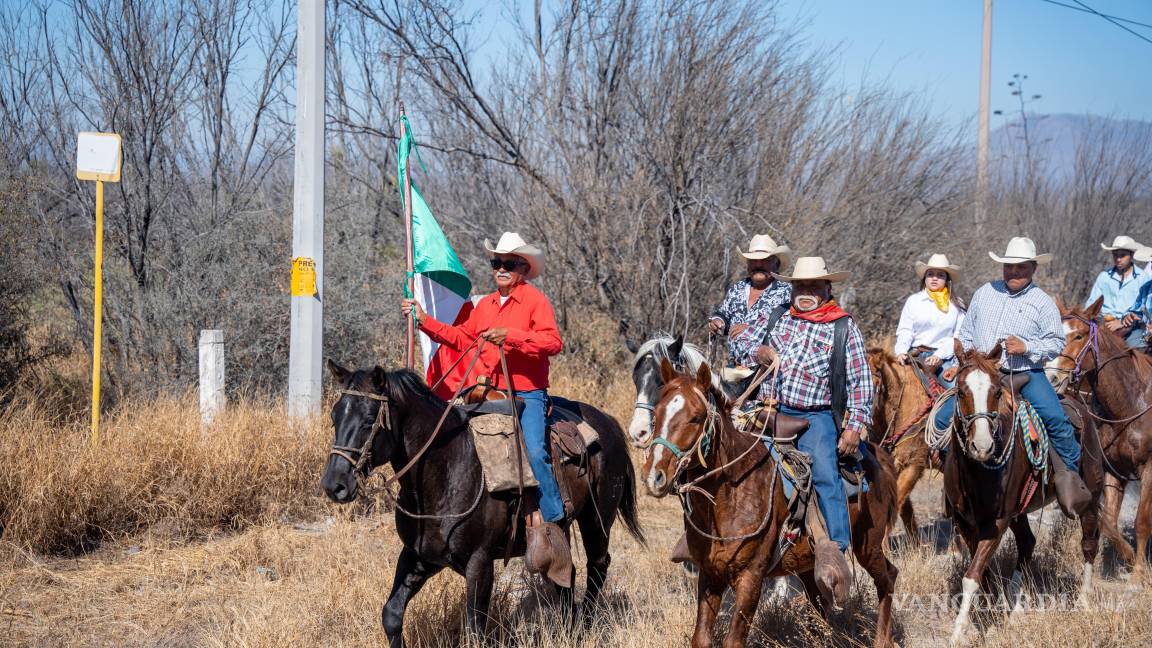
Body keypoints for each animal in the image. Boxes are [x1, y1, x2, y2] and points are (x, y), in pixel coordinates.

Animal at [324, 359, 645, 641]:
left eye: (369, 421)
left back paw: (585, 625)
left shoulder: (480, 563)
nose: (334, 484)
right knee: (566, 573)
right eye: (334, 416)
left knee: (597, 567)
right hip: (564, 528)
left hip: (597, 520)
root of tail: (607, 422)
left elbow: (475, 629)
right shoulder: (419, 556)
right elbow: (391, 614)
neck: (448, 466)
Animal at [640, 357, 898, 645]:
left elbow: (733, 640)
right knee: (818, 600)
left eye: (696, 418)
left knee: (888, 578)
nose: (654, 475)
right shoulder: (710, 574)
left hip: (869, 544)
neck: (733, 493)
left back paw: (882, 640)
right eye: (657, 414)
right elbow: (701, 638)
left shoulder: (751, 578)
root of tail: (877, 455)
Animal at [944, 341, 1105, 641]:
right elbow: (982, 573)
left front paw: (959, 632)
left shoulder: (996, 522)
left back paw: (1084, 600)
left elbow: (972, 576)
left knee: (1089, 542)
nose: (982, 446)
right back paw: (1016, 607)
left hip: (1091, 494)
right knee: (1027, 543)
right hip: (1019, 511)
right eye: (960, 391)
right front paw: (990, 614)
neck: (976, 471)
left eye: (997, 392)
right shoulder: (965, 522)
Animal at [1050, 297, 1152, 574]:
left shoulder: (1149, 469)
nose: (1052, 377)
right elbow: (1107, 521)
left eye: (1079, 335)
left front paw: (1139, 573)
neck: (1130, 407)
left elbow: (1142, 521)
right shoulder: (1114, 470)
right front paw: (1129, 557)